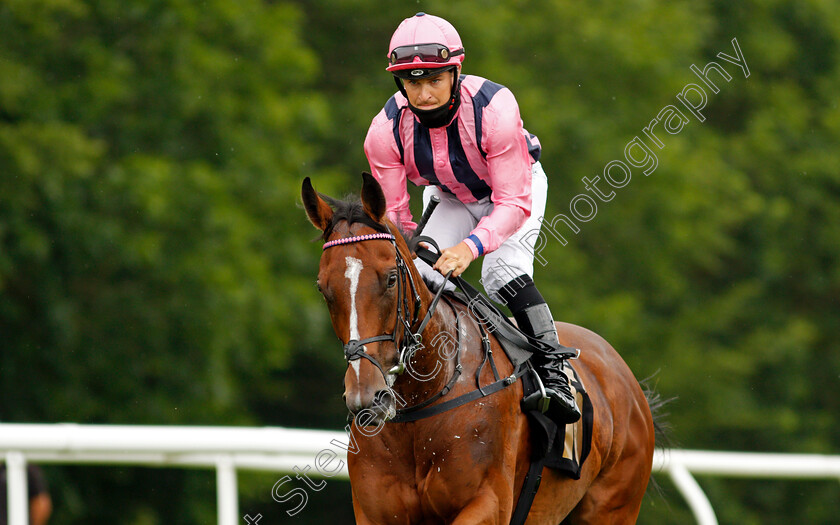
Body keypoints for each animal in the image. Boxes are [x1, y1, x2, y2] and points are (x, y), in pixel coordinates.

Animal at [302, 174, 656, 520]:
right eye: (323, 288)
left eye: (390, 278)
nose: (367, 397)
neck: (423, 399)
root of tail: (625, 377)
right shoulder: (373, 511)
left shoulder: (488, 502)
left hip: (613, 505)